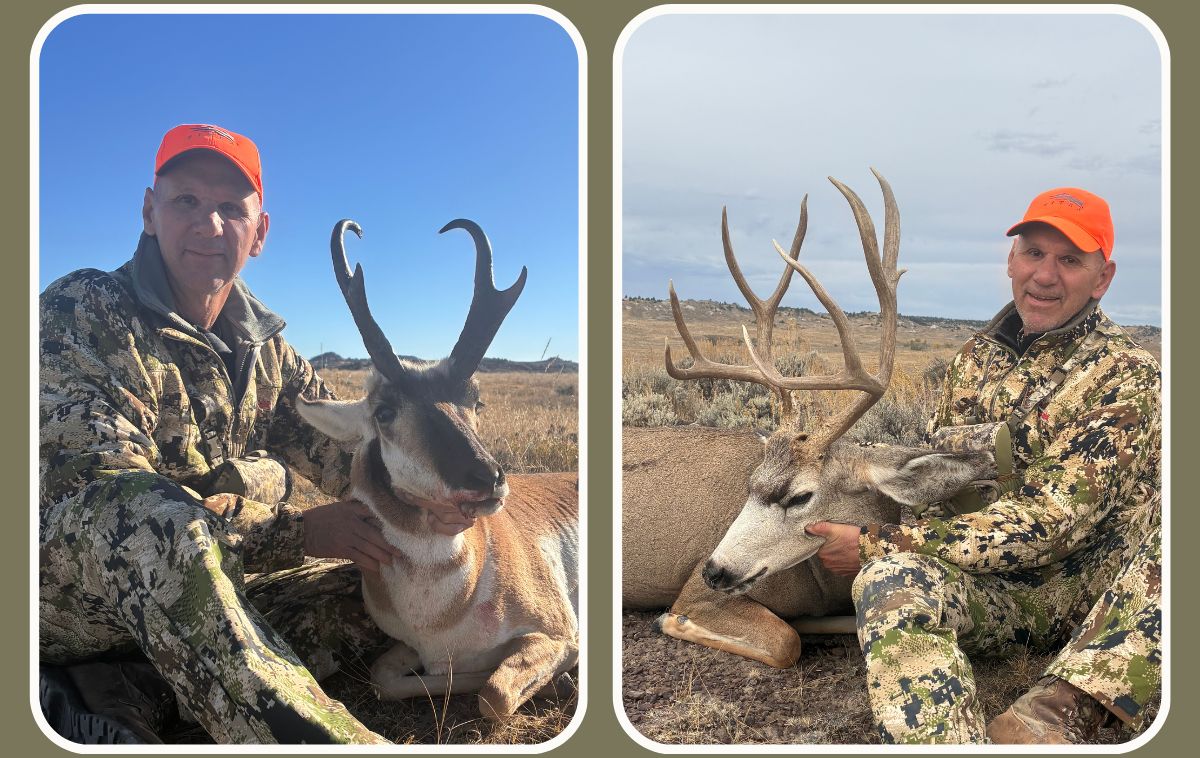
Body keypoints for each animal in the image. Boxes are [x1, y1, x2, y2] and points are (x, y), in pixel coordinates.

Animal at [297, 219, 578, 721]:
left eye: (476, 401)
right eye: (385, 412)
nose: (488, 479)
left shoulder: (561, 635)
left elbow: (493, 694)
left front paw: (553, 682)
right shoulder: (405, 648)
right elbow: (385, 680)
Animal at [622, 170, 999, 668]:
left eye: (800, 496)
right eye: (750, 484)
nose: (714, 569)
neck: (820, 587)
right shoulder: (693, 593)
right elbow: (787, 641)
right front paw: (669, 620)